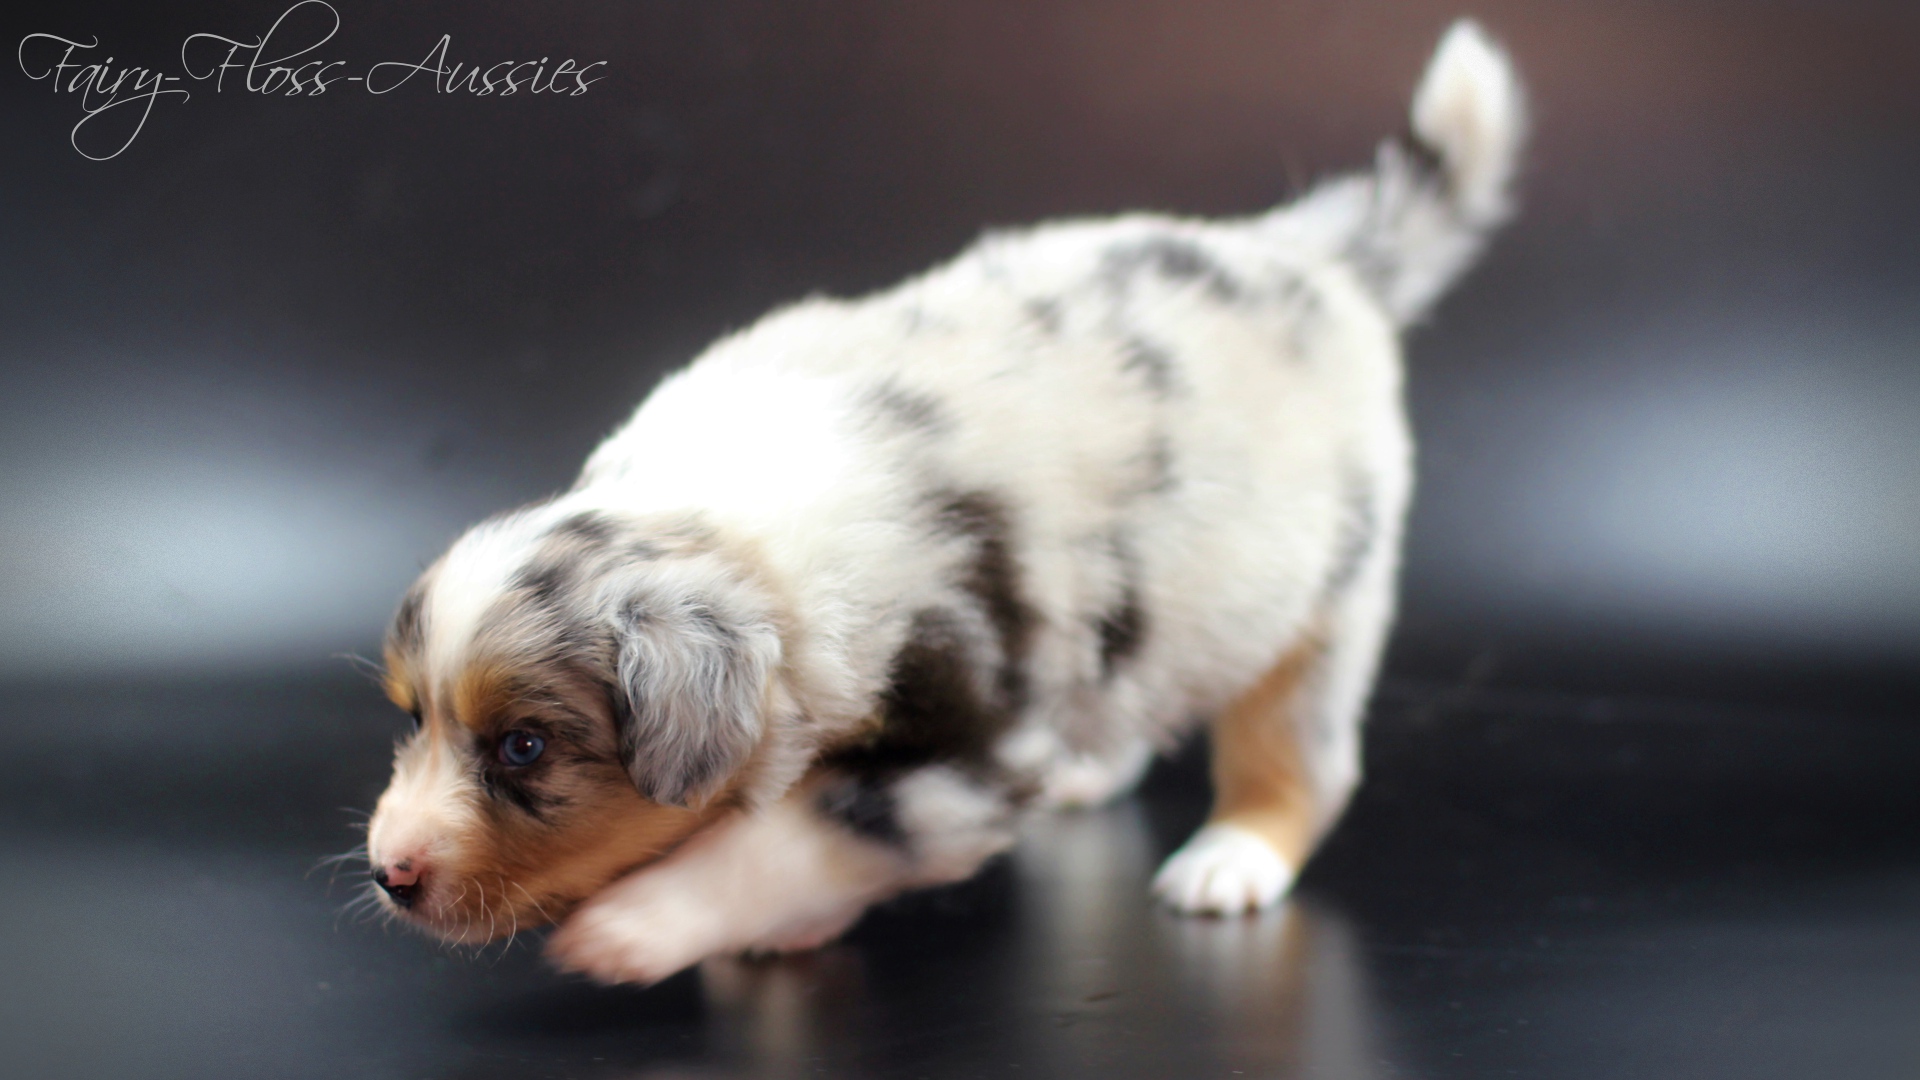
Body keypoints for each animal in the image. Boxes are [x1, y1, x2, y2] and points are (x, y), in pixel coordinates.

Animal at [363, 20, 1524, 985]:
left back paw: (1230, 860)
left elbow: (797, 838)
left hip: (1330, 595)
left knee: (1300, 759)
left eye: (524, 747)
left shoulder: (964, 741)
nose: (388, 874)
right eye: (413, 718)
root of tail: (1309, 258)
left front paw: (643, 926)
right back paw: (1092, 770)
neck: (729, 528)